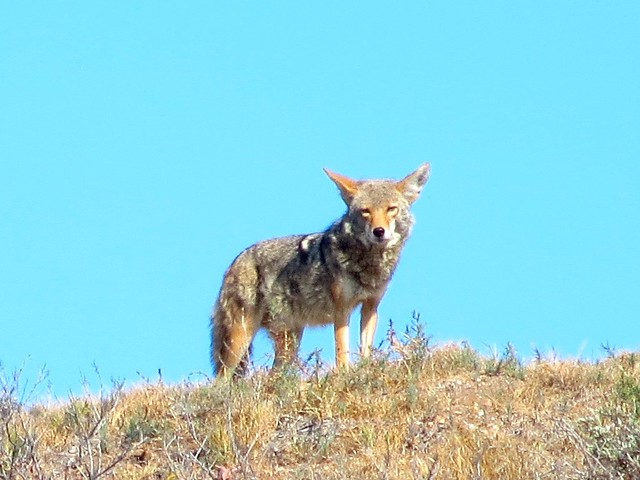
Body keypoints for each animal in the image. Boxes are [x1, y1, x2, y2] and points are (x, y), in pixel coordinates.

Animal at [210, 163, 430, 378]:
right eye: (365, 211)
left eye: (391, 209)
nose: (379, 231)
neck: (370, 264)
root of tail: (235, 262)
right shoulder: (341, 309)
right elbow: (342, 350)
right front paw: (344, 375)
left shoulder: (370, 306)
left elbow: (365, 349)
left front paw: (366, 370)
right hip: (240, 340)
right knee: (220, 380)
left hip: (289, 343)